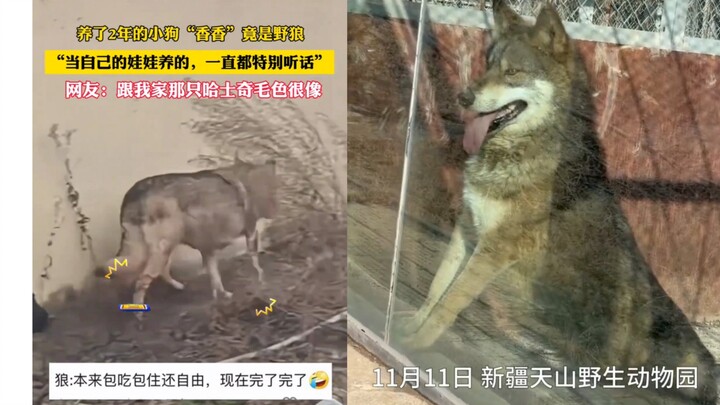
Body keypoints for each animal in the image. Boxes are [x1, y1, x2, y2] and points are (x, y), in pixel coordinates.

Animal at [96, 153, 278, 315]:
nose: (274, 213)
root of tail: (133, 194)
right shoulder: (250, 233)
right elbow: (256, 265)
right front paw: (261, 282)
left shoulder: (208, 249)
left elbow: (215, 279)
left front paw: (221, 298)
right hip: (161, 251)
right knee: (142, 282)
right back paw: (139, 315)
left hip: (163, 250)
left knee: (160, 272)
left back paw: (178, 286)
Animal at [400, 1, 717, 403]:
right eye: (488, 65)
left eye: (513, 72)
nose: (463, 98)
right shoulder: (467, 229)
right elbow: (435, 289)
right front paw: (411, 326)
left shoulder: (493, 250)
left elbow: (450, 302)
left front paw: (417, 346)